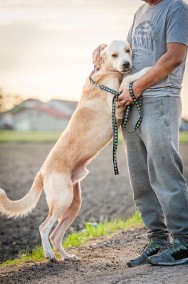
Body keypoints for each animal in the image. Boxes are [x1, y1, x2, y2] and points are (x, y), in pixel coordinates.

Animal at [0, 40, 150, 262]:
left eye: (127, 51)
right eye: (114, 55)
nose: (126, 64)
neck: (105, 73)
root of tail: (42, 171)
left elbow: (127, 79)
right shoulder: (116, 103)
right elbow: (129, 79)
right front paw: (147, 70)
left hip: (74, 203)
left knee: (56, 235)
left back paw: (67, 257)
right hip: (63, 200)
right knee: (44, 228)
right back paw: (49, 255)